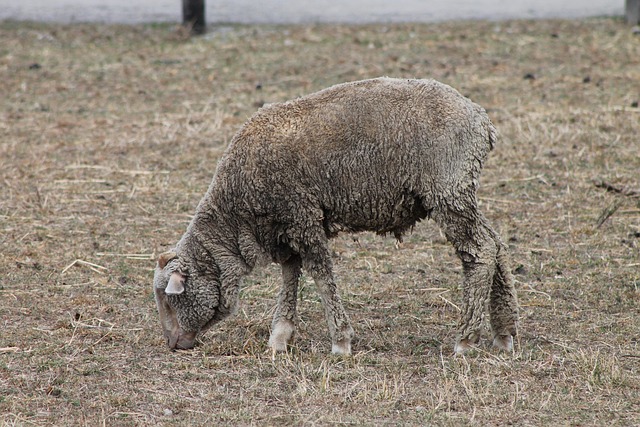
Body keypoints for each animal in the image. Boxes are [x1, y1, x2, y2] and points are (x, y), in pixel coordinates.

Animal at [153, 77, 518, 355]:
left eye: (170, 300)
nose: (173, 344)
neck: (236, 217)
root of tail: (480, 119)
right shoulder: (286, 226)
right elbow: (290, 275)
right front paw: (280, 337)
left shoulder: (302, 216)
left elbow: (320, 275)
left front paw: (340, 342)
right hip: (461, 191)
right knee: (497, 245)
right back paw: (504, 333)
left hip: (447, 190)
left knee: (480, 252)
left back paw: (466, 340)